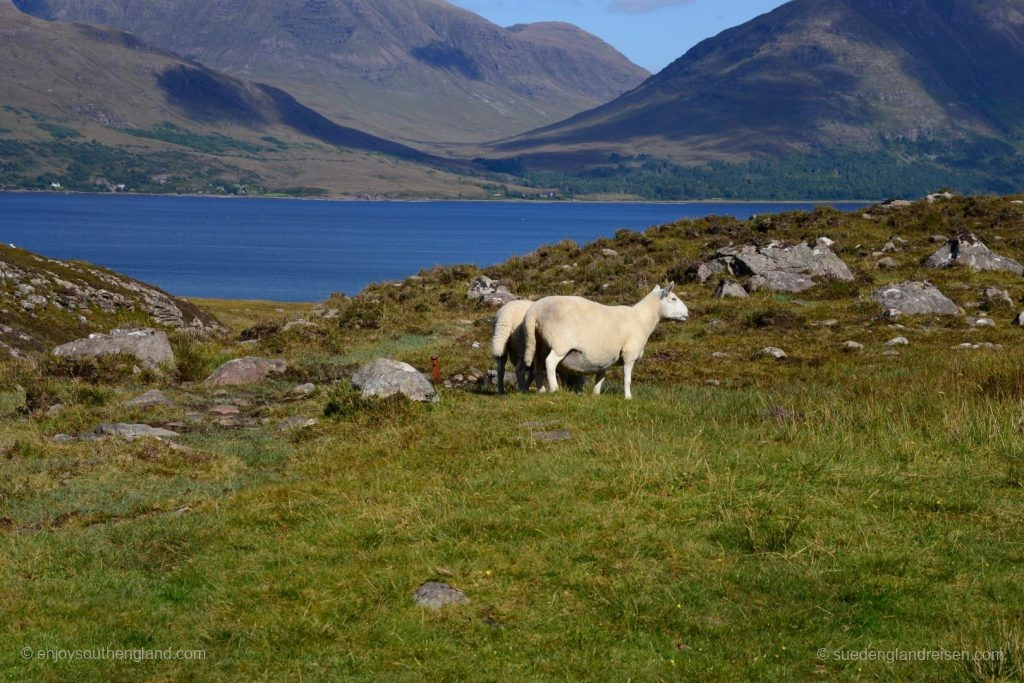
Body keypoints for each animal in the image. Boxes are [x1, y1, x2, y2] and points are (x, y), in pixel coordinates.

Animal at [524, 282, 692, 401]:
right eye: (673, 299)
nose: (688, 313)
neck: (642, 319)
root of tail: (534, 311)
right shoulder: (629, 353)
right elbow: (627, 379)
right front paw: (628, 398)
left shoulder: (606, 358)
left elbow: (600, 378)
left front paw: (596, 394)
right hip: (560, 344)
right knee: (550, 363)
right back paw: (554, 389)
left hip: (540, 344)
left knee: (537, 367)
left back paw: (541, 391)